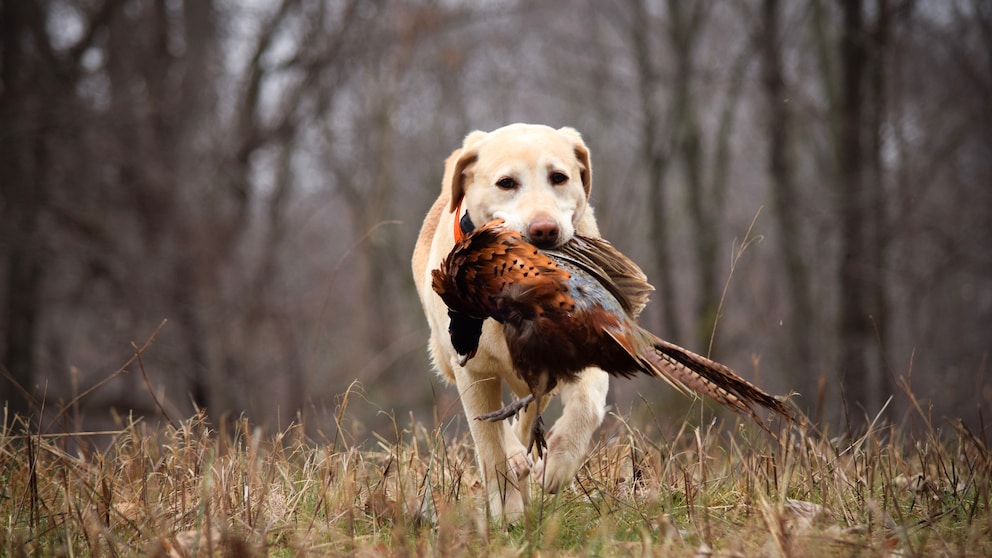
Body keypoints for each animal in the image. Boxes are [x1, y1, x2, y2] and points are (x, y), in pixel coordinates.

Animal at [412, 124, 612, 524]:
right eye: (506, 183)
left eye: (559, 177)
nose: (544, 230)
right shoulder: (471, 369)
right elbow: (488, 441)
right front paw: (508, 511)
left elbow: (588, 403)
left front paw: (558, 465)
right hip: (446, 354)